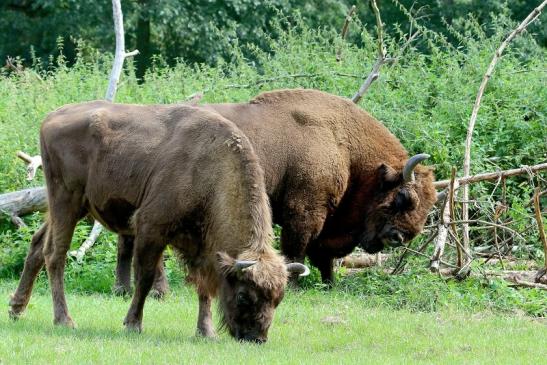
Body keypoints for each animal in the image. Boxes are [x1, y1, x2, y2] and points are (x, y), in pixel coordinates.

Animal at [7, 101, 308, 342]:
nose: (256, 337)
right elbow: (146, 276)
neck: (211, 170)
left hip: (73, 207)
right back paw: (64, 320)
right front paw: (133, 324)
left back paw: (16, 308)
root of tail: (51, 117)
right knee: (54, 254)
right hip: (65, 201)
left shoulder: (203, 246)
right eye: (245, 295)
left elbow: (204, 287)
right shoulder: (151, 227)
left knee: (36, 245)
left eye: (278, 299)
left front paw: (206, 331)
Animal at [115, 87, 436, 288]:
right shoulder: (304, 212)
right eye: (404, 197)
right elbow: (297, 249)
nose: (399, 237)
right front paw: (294, 283)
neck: (344, 145)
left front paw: (329, 284)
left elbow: (323, 256)